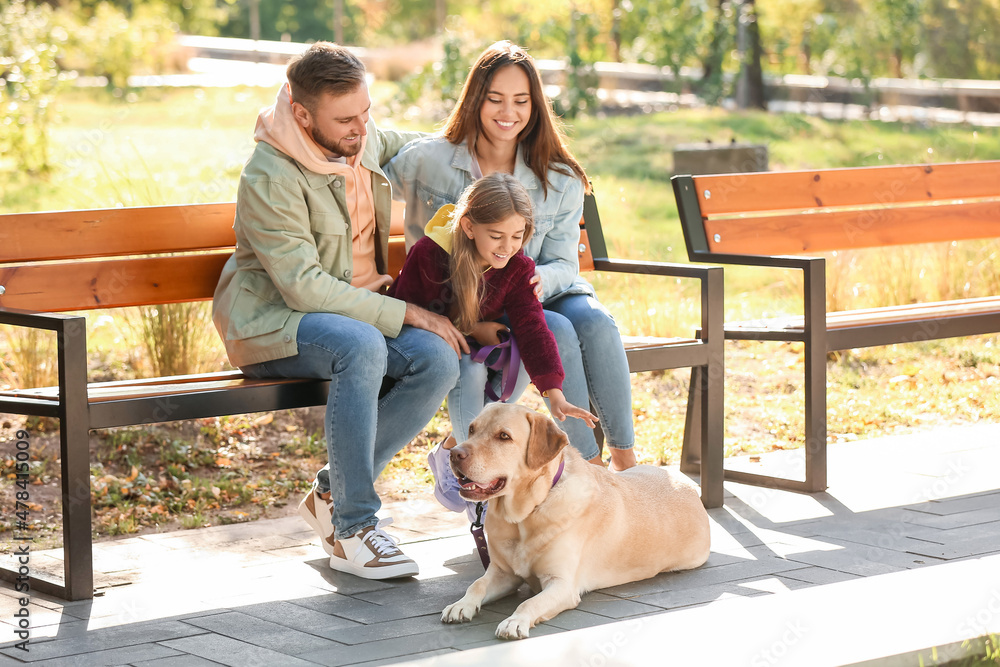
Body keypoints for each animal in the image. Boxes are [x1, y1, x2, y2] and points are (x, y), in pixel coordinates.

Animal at [440, 402, 712, 640]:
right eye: (472, 429)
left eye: (504, 436)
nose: (454, 453)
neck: (523, 517)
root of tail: (688, 484)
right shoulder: (503, 573)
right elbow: (476, 585)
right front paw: (461, 605)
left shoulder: (562, 584)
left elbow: (530, 602)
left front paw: (514, 621)